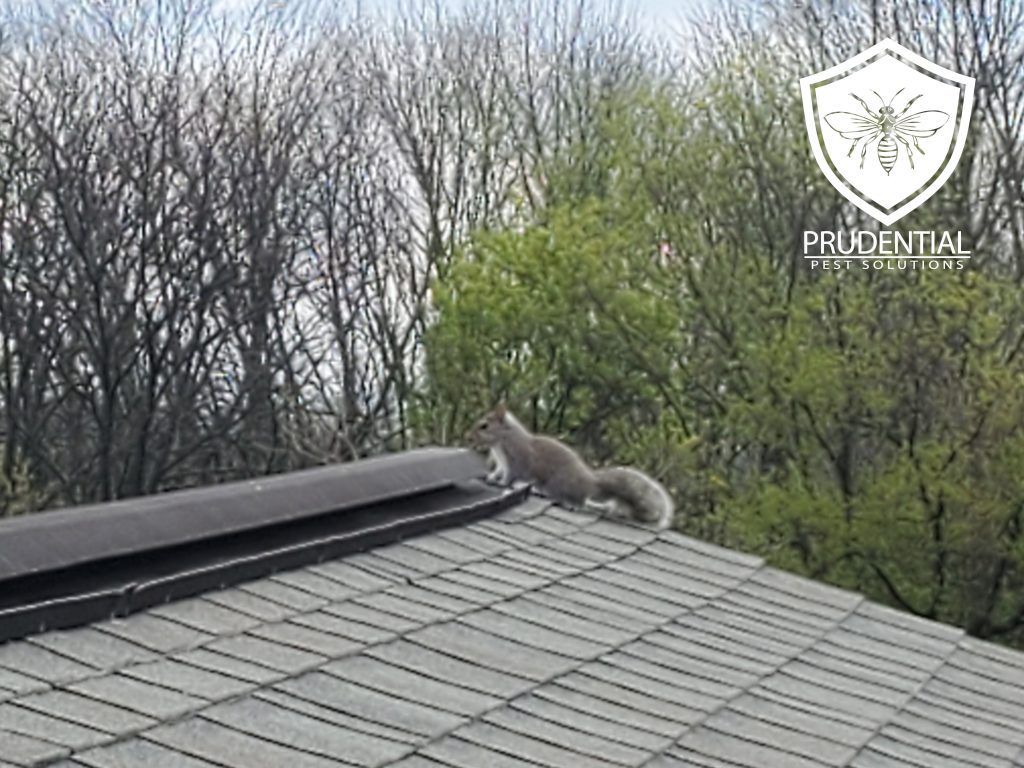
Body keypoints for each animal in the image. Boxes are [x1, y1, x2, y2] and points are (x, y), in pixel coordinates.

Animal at [468, 409, 675, 528]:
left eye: (484, 426)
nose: (469, 437)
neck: (503, 439)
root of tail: (590, 482)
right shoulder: (502, 463)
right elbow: (498, 472)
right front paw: (491, 478)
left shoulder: (518, 460)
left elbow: (511, 475)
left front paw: (502, 484)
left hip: (561, 484)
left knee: (579, 502)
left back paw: (569, 504)